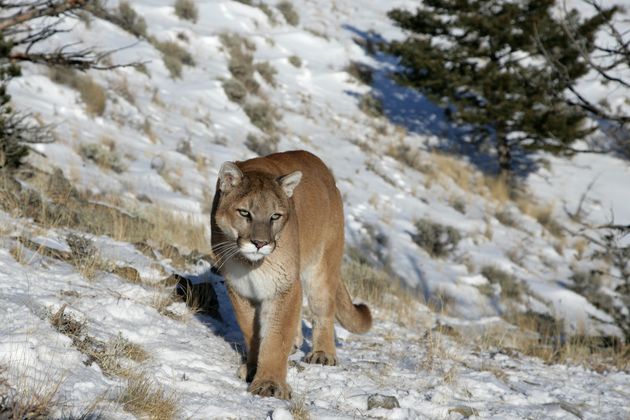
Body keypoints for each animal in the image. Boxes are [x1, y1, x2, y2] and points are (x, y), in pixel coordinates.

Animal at [212, 150, 372, 400]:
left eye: (275, 216)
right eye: (245, 213)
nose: (260, 243)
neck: (250, 264)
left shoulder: (284, 285)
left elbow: (276, 336)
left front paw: (270, 384)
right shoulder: (240, 289)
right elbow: (252, 331)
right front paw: (253, 368)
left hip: (321, 269)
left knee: (323, 311)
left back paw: (323, 354)